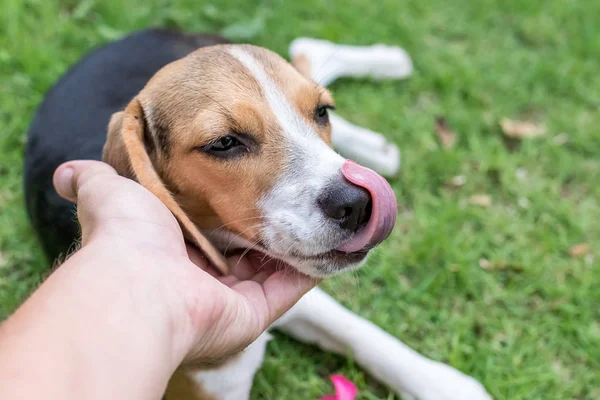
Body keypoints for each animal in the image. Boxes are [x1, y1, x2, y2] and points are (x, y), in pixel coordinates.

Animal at [24, 28, 492, 400]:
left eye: (322, 113)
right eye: (224, 143)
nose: (359, 203)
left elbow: (360, 331)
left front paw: (444, 384)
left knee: (307, 51)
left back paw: (386, 75)